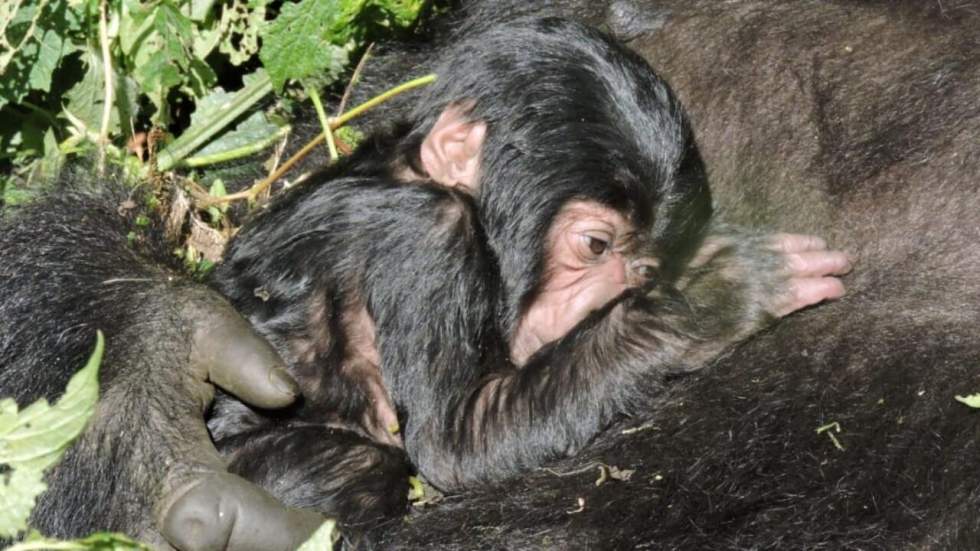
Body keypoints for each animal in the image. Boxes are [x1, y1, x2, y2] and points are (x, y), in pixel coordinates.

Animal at [203, 17, 848, 532]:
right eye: (595, 245)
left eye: (641, 269)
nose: (602, 301)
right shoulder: (426, 236)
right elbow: (457, 441)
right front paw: (717, 296)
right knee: (360, 471)